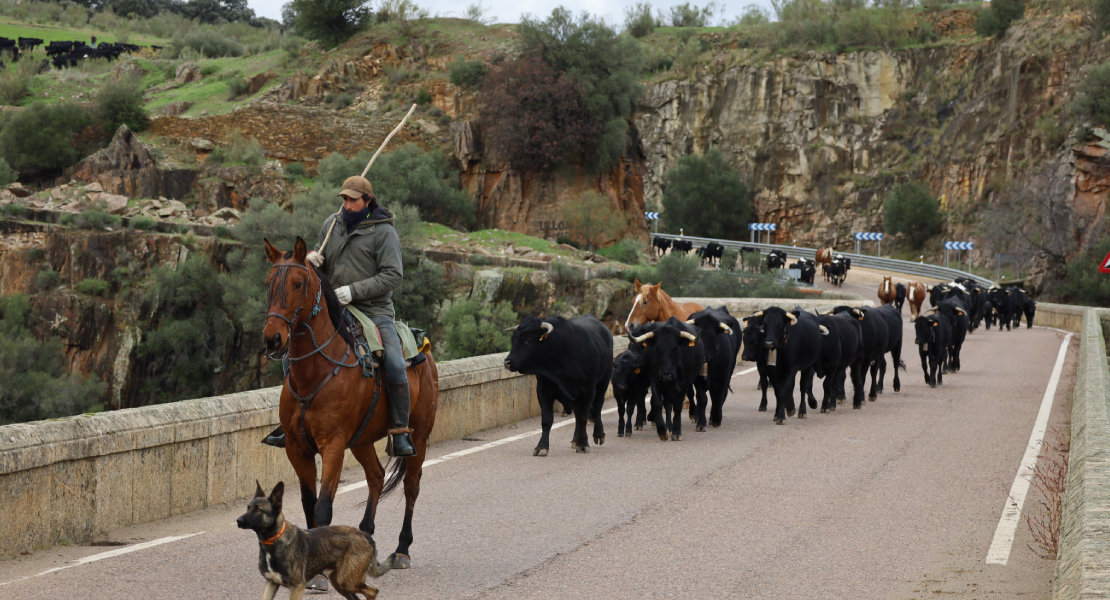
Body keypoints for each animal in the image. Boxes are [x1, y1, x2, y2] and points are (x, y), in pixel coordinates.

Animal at [236, 479, 392, 598]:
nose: (238, 520)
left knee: (373, 592)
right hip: (341, 584)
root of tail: (366, 536)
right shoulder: (272, 584)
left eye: (258, 509)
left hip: (348, 581)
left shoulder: (297, 587)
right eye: (248, 507)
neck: (274, 541)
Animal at [260, 236, 437, 567]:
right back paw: (366, 534)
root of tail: (425, 351)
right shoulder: (297, 448)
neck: (317, 371)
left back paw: (402, 549)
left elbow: (323, 507)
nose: (272, 339)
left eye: (299, 283)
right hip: (362, 440)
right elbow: (308, 503)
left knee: (411, 486)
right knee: (377, 477)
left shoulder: (333, 445)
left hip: (418, 434)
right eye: (268, 283)